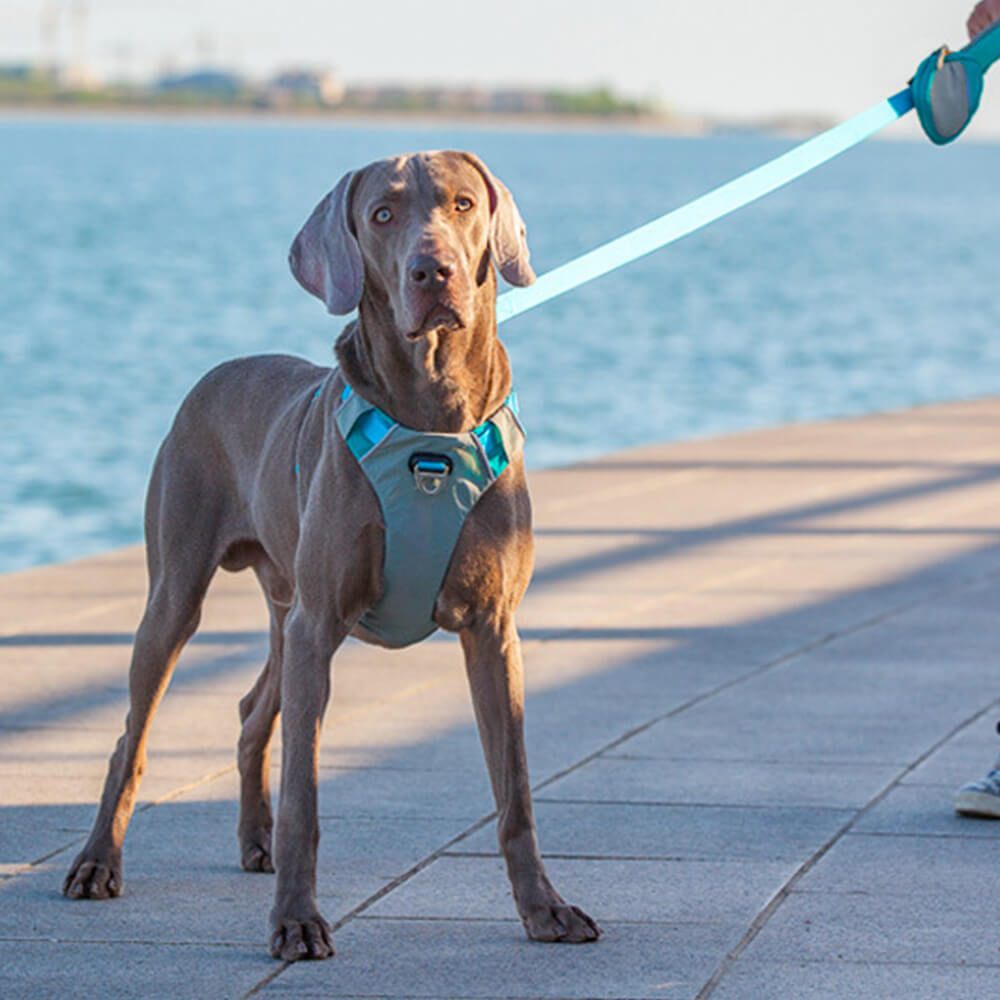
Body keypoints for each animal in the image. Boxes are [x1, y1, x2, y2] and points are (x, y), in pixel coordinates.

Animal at [62, 150, 600, 960]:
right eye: (382, 214)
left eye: (464, 203)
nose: (433, 270)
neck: (432, 418)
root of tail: (213, 373)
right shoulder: (321, 624)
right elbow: (306, 796)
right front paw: (296, 921)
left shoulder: (492, 629)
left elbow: (516, 792)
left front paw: (545, 908)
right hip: (184, 593)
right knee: (133, 732)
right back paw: (99, 862)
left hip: (288, 606)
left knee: (253, 709)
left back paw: (255, 842)